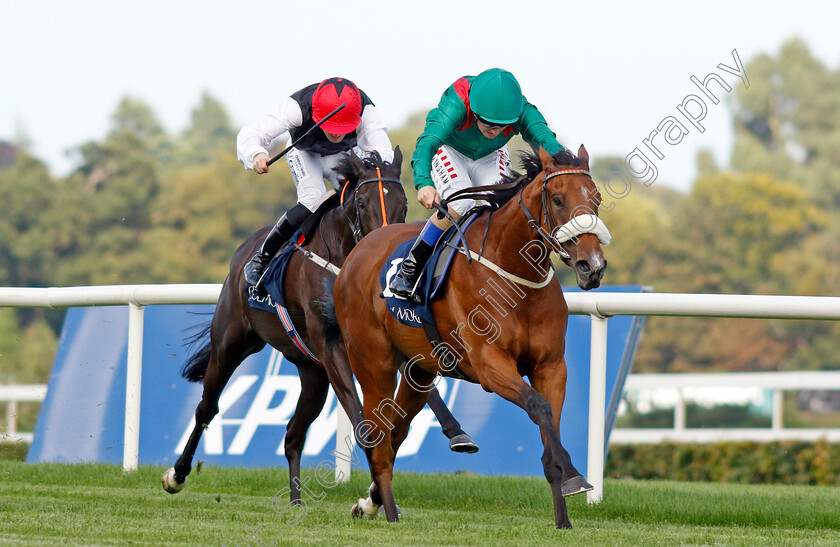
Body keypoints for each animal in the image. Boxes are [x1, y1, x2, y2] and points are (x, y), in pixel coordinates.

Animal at [162, 148, 476, 504]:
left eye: (404, 204)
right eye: (362, 203)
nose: (382, 249)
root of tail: (242, 252)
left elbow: (428, 390)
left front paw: (457, 433)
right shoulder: (330, 342)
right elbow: (361, 418)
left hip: (312, 373)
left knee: (293, 433)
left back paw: (296, 501)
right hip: (230, 343)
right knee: (207, 408)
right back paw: (177, 474)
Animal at [330, 147, 612, 532]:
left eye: (596, 199)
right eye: (557, 199)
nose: (592, 266)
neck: (514, 275)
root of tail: (359, 249)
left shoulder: (551, 366)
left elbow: (549, 419)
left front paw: (564, 509)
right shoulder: (489, 364)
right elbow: (538, 406)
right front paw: (571, 474)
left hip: (419, 373)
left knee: (396, 431)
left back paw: (371, 502)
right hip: (373, 364)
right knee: (377, 435)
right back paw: (388, 511)